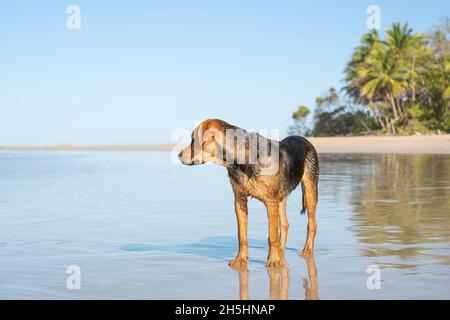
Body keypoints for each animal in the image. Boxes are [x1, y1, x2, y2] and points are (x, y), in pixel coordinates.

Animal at [179, 119, 320, 266]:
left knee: (312, 224)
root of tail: (304, 139)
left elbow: (272, 235)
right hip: (281, 197)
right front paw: (240, 260)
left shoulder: (271, 202)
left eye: (194, 140)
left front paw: (274, 262)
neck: (239, 161)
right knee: (285, 224)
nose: (178, 155)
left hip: (310, 189)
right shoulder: (239, 199)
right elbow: (242, 234)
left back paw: (306, 251)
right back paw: (281, 251)